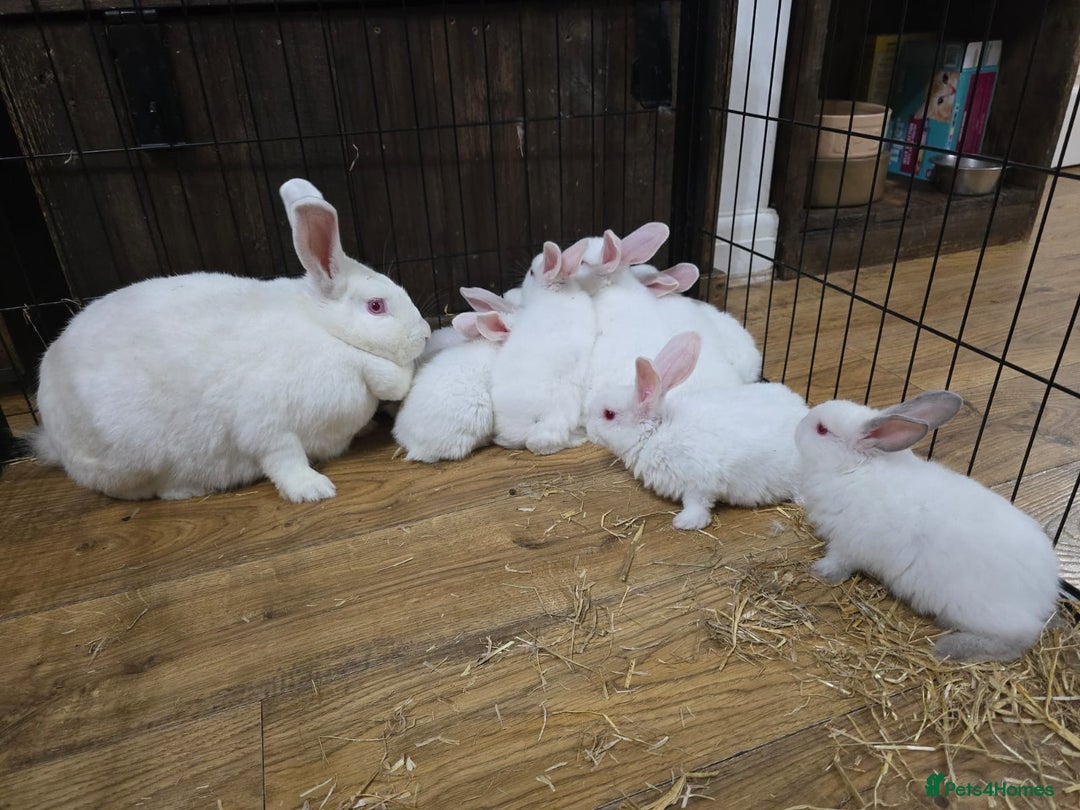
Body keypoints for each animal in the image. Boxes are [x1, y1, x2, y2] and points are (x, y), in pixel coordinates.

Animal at [31, 178, 431, 503]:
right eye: (376, 306)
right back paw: (185, 489)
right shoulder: (267, 425)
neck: (328, 334)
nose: (425, 334)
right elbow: (284, 459)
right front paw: (313, 490)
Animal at [585, 331, 808, 530]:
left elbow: (697, 504)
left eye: (608, 414)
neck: (657, 432)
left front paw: (685, 522)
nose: (588, 430)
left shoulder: (699, 483)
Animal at [795, 390, 1062, 662]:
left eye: (821, 429)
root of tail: (1045, 593)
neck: (853, 469)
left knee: (1020, 638)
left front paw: (821, 571)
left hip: (978, 610)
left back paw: (950, 647)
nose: (799, 425)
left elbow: (839, 561)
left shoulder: (847, 542)